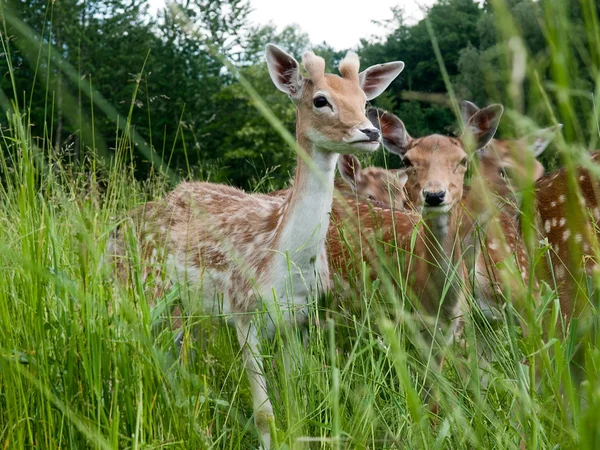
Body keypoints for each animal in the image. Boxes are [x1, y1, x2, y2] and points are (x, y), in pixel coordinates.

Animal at [107, 44, 404, 446]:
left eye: (364, 101)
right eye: (320, 99)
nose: (370, 132)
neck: (286, 264)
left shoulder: (301, 318)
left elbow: (296, 402)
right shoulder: (243, 311)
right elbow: (265, 413)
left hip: (190, 308)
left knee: (181, 359)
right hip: (142, 286)